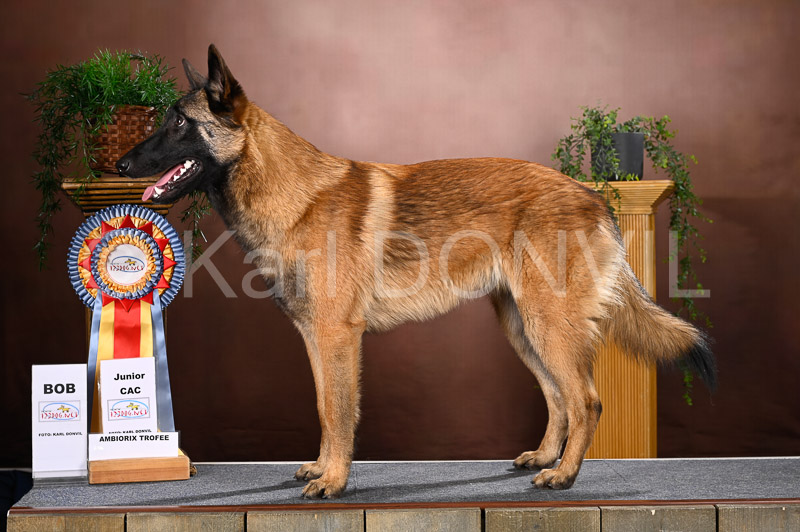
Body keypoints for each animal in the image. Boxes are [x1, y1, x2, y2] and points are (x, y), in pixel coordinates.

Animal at [117, 44, 716, 498]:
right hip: (523, 328)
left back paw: (564, 476)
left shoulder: (338, 337)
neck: (291, 193)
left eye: (179, 122)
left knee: (585, 400)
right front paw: (323, 467)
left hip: (549, 324)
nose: (121, 165)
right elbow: (323, 406)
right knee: (557, 398)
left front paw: (335, 481)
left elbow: (341, 410)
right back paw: (545, 457)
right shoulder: (314, 337)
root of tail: (594, 198)